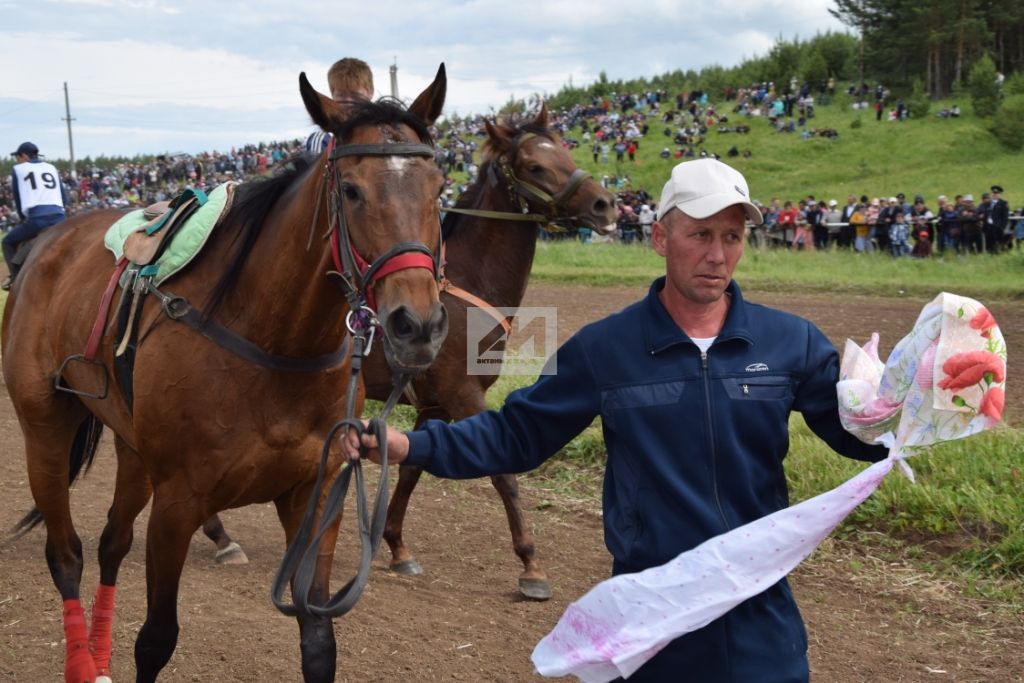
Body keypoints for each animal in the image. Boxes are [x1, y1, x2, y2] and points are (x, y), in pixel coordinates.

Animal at [2, 66, 448, 679]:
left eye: (439, 189)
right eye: (352, 190)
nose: (417, 323)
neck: (273, 345)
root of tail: (48, 245)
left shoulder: (315, 497)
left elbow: (318, 640)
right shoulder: (176, 504)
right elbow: (156, 640)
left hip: (132, 448)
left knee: (112, 542)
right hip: (45, 429)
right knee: (65, 554)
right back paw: (82, 661)